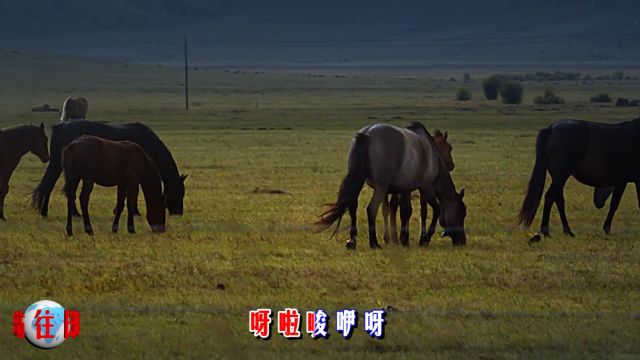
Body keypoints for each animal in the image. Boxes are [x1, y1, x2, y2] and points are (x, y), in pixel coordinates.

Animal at [318, 122, 468, 249]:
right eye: (462, 212)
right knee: (371, 209)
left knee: (353, 206)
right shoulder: (426, 187)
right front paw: (423, 238)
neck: (432, 155)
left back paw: (352, 241)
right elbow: (435, 210)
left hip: (359, 180)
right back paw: (374, 242)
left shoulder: (404, 189)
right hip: (381, 187)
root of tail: (365, 134)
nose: (462, 241)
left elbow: (403, 211)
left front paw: (403, 238)